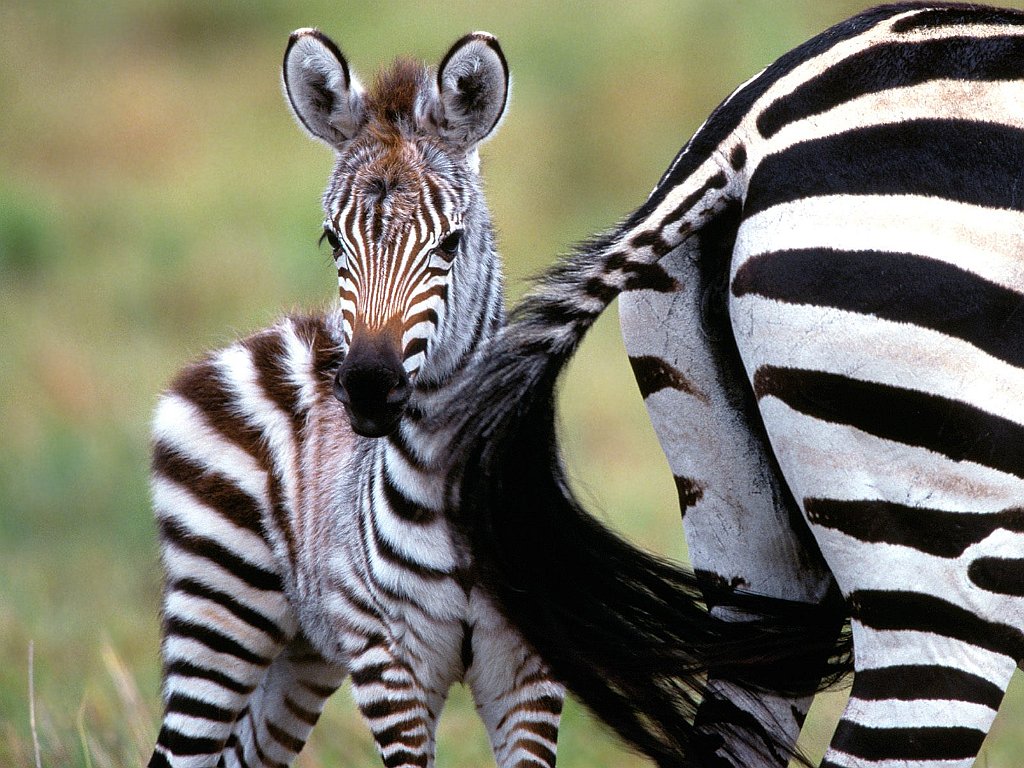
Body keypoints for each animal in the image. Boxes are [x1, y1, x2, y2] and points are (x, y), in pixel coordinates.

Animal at [146, 29, 570, 768]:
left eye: (451, 243)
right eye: (332, 240)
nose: (368, 385)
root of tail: (268, 337)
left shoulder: (529, 673)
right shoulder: (388, 663)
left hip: (303, 647)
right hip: (221, 604)